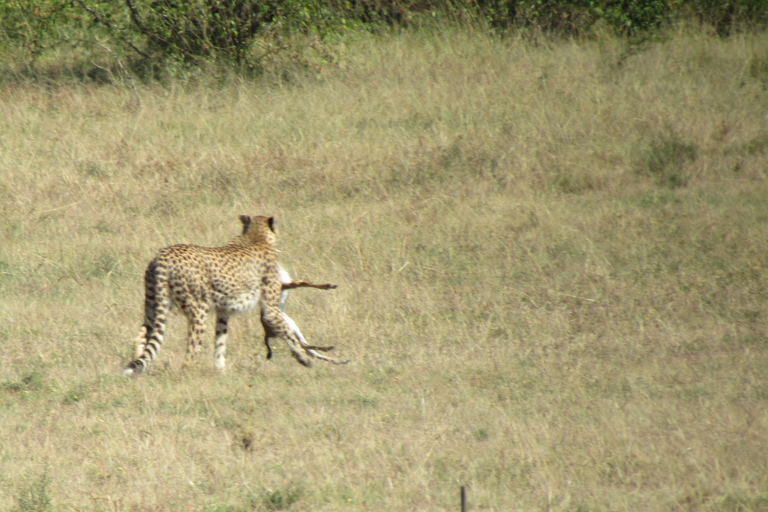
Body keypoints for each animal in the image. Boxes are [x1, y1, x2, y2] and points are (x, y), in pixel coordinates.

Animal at [122, 214, 344, 378]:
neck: (255, 236)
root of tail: (162, 255)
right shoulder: (270, 310)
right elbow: (289, 335)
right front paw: (303, 359)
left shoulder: (223, 311)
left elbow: (220, 341)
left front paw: (221, 371)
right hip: (198, 309)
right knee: (191, 350)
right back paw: (188, 374)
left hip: (154, 305)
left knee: (142, 336)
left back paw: (137, 370)